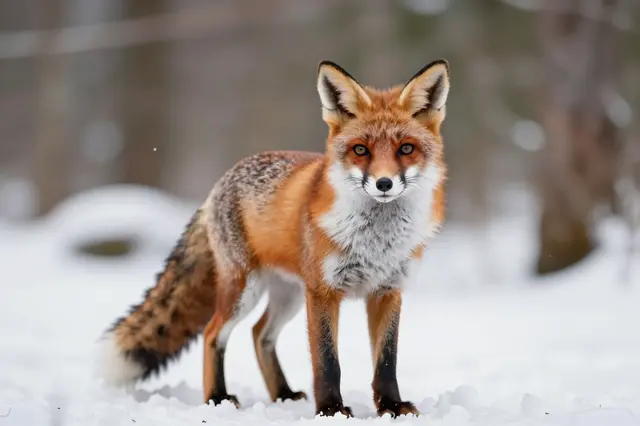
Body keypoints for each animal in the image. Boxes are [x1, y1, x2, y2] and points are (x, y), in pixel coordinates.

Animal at [95, 59, 450, 418]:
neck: (377, 242)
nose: (384, 184)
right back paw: (217, 398)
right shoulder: (323, 292)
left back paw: (282, 393)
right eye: (360, 150)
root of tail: (218, 185)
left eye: (406, 149)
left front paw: (392, 406)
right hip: (244, 291)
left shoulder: (388, 290)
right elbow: (327, 361)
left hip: (288, 295)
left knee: (259, 334)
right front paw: (331, 409)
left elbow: (387, 360)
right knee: (213, 333)